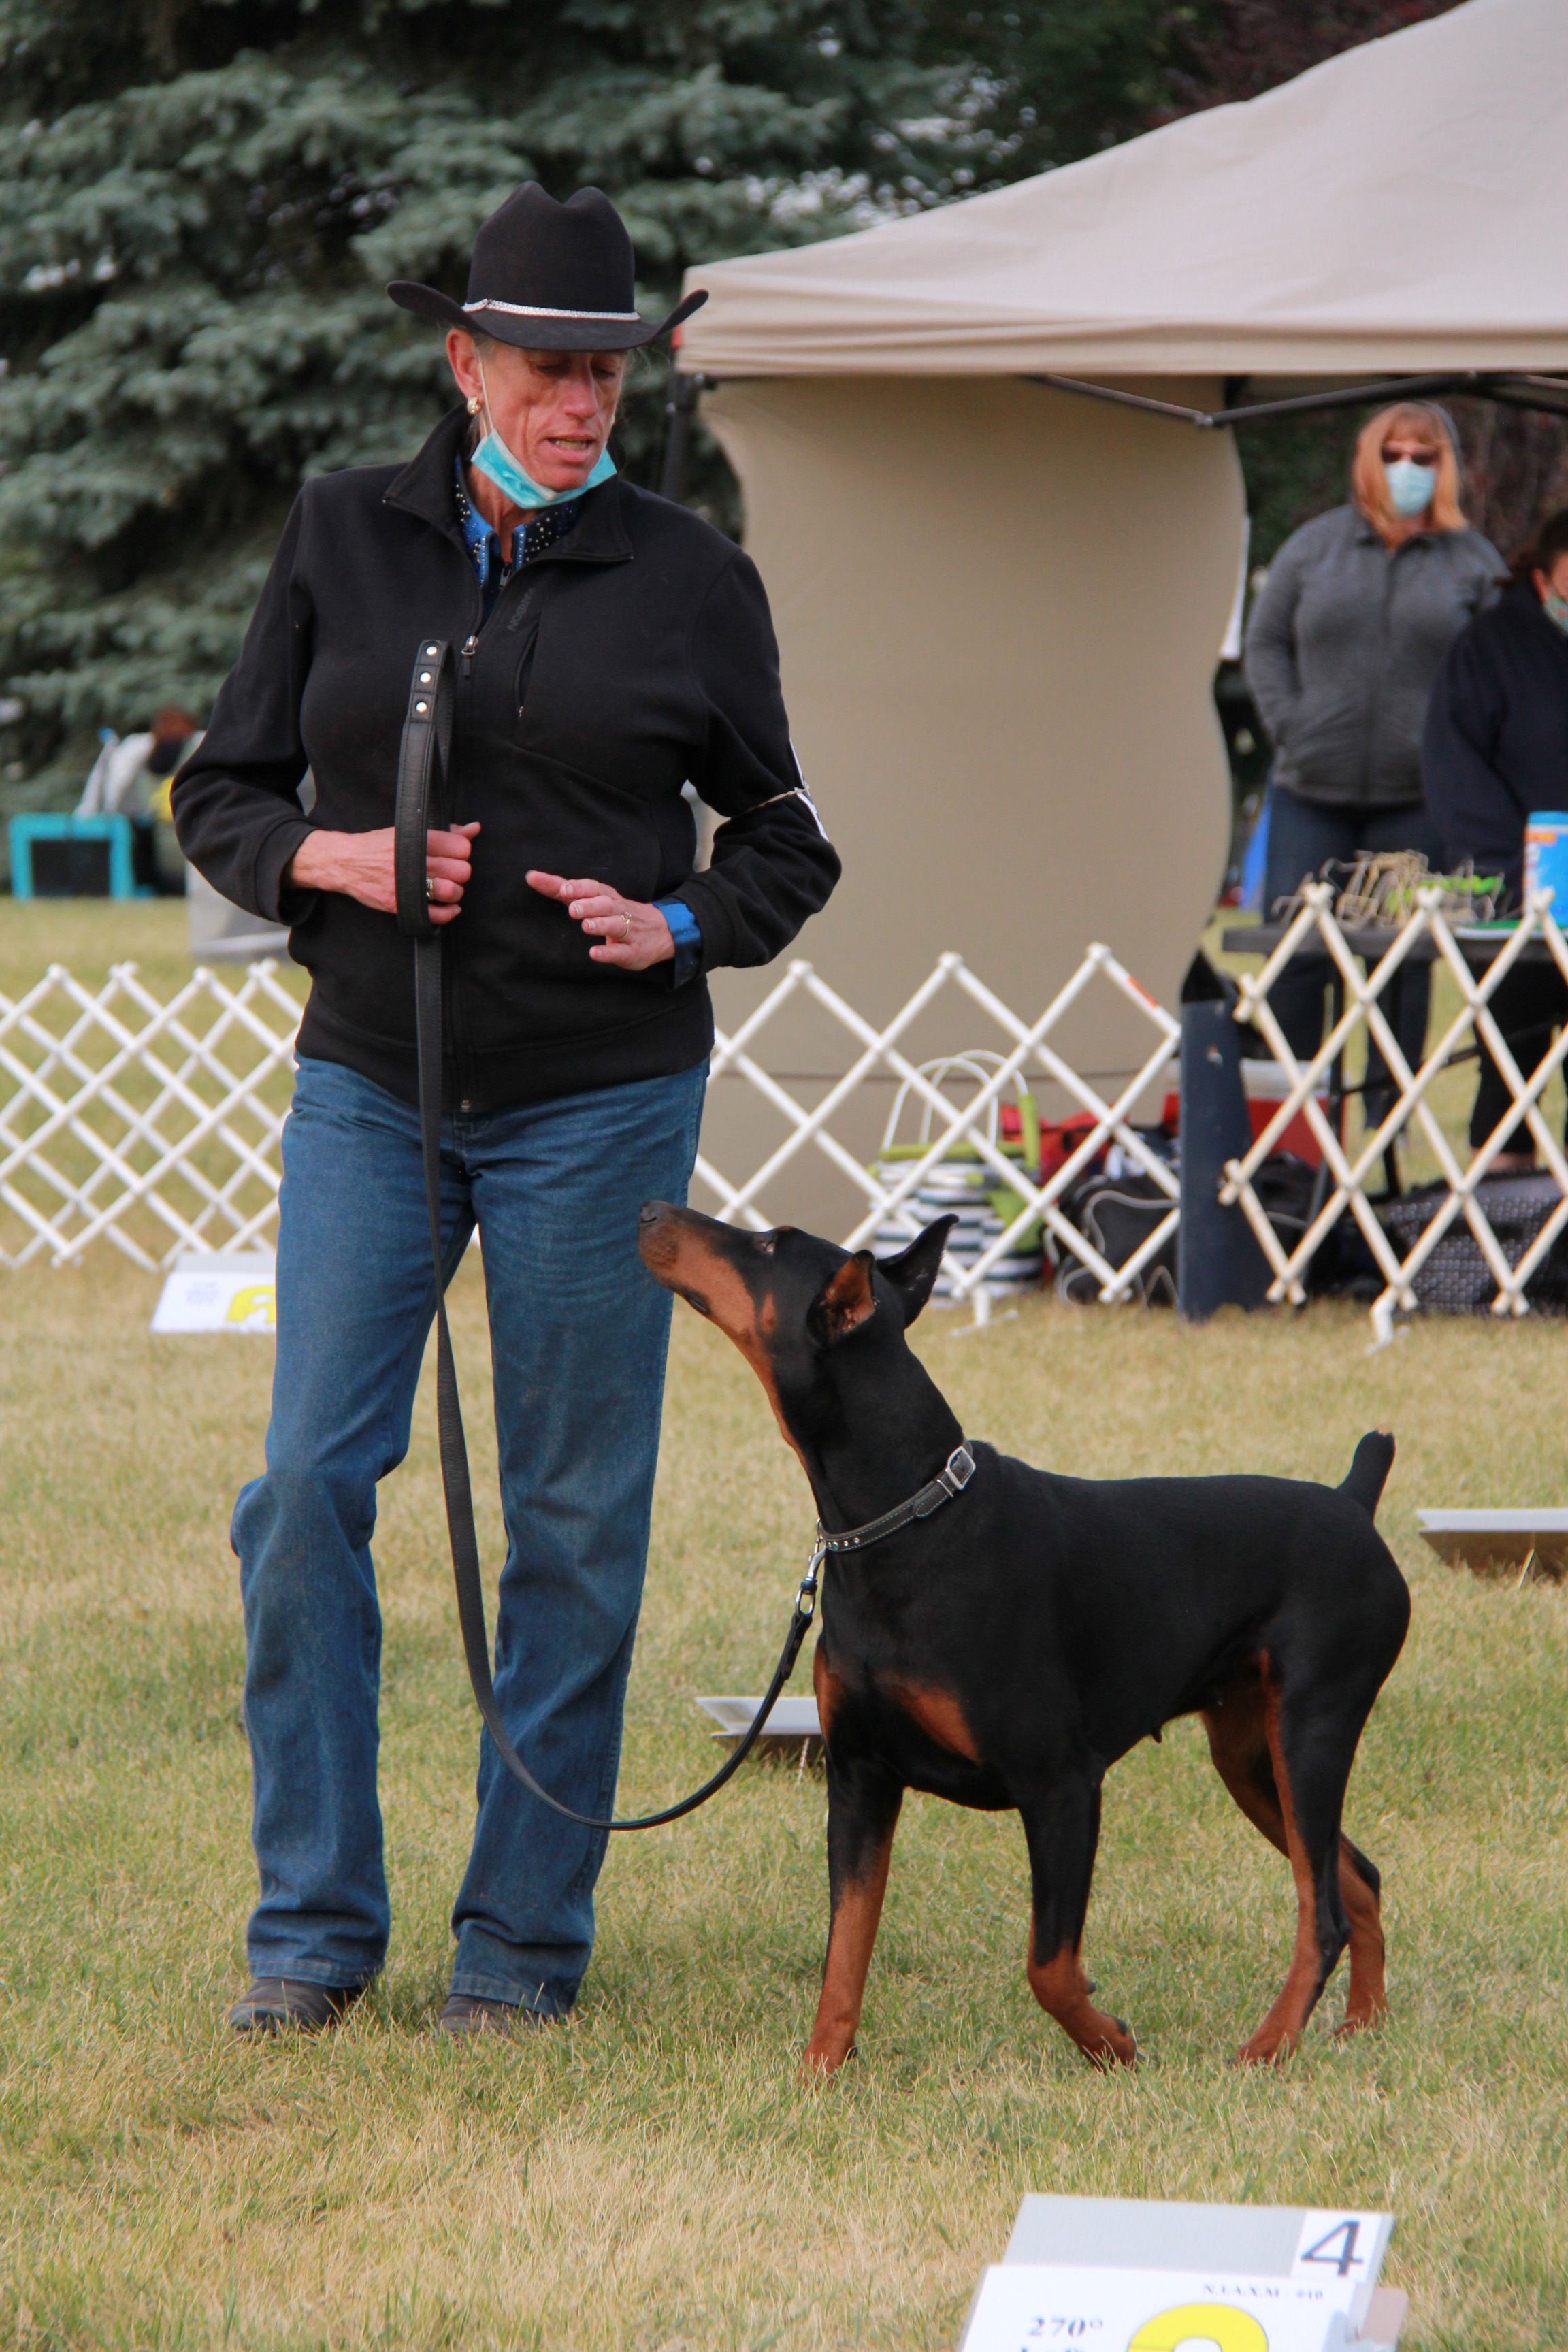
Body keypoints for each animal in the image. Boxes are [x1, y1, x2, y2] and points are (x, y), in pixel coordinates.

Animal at [634, 1213, 1410, 2079]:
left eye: (770, 1245)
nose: (653, 1212)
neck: (906, 1522)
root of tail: (1353, 1503)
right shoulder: (860, 1780)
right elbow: (846, 1950)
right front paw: (820, 2073)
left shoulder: (1061, 1785)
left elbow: (1049, 1965)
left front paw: (1112, 2045)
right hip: (1251, 1756)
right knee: (1357, 1877)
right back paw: (1362, 2024)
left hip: (1311, 1727)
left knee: (1323, 1910)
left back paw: (1269, 2046)